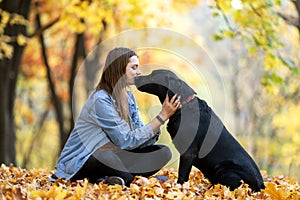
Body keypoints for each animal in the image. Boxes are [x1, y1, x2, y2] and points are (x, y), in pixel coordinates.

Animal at [136, 69, 264, 191]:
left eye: (153, 75)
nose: (136, 78)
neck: (183, 105)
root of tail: (261, 186)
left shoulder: (189, 152)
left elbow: (182, 175)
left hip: (224, 169)